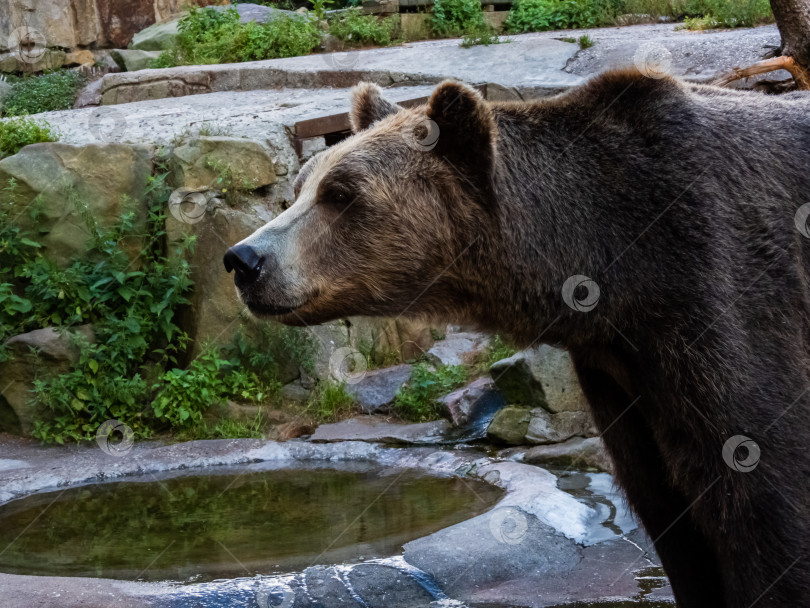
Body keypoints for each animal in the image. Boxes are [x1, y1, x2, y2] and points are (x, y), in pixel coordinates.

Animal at [224, 69, 808, 604]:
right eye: (300, 188)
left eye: (341, 193)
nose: (242, 260)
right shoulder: (623, 376)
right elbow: (675, 519)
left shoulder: (721, 292)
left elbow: (767, 498)